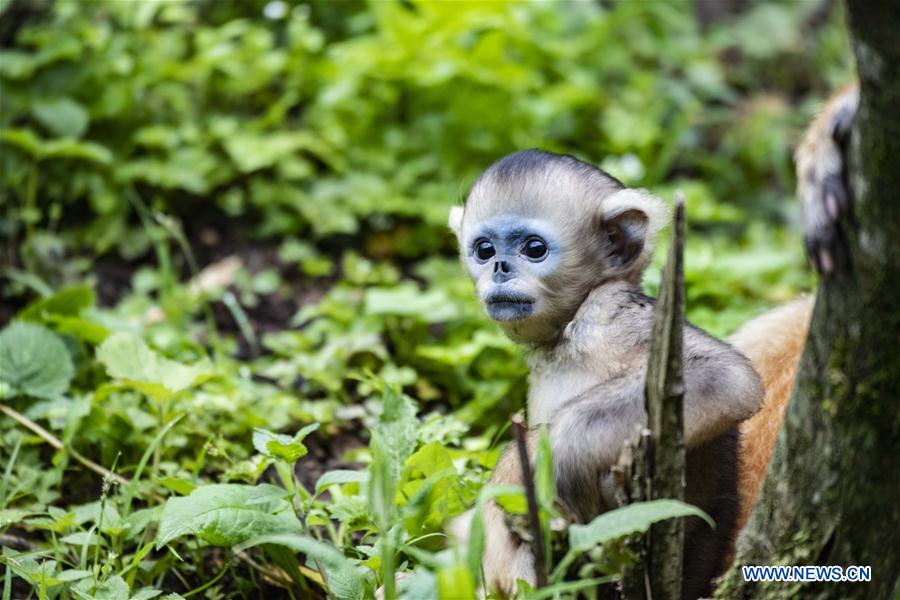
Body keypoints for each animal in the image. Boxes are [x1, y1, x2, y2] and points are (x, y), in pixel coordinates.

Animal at [450, 82, 856, 596]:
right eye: (484, 250)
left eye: (533, 249)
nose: (500, 268)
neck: (565, 336)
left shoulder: (609, 319)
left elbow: (727, 379)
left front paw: (556, 463)